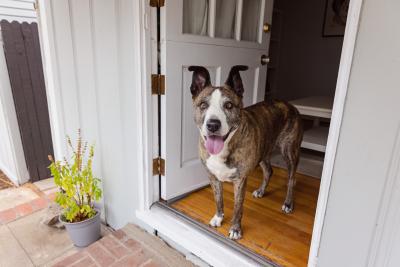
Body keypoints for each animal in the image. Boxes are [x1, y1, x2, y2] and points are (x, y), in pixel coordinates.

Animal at [189, 65, 302, 241]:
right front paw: (218, 217)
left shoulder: (240, 181)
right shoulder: (213, 177)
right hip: (263, 150)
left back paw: (288, 203)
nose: (213, 125)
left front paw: (235, 229)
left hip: (289, 151)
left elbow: (238, 207)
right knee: (269, 170)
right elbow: (218, 199)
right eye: (203, 105)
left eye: (229, 105)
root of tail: (289, 105)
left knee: (291, 179)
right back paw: (261, 191)